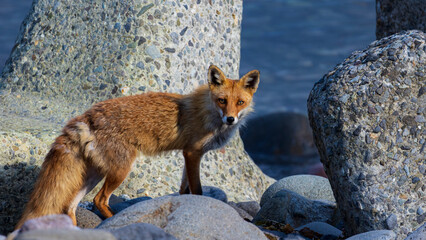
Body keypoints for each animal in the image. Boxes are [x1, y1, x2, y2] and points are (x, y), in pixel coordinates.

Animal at [15, 64, 260, 228]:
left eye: (240, 102)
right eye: (222, 100)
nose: (231, 119)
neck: (209, 113)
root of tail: (85, 117)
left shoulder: (188, 155)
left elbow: (184, 190)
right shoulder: (192, 153)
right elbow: (197, 190)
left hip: (93, 174)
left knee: (70, 206)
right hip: (121, 169)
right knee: (98, 200)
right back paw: (118, 222)